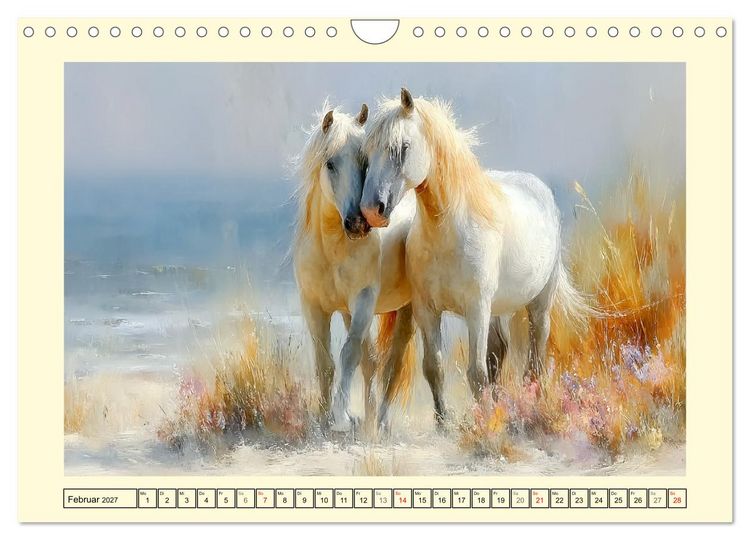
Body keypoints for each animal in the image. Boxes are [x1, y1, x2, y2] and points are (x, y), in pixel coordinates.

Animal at [293, 103, 417, 433]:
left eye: (364, 162)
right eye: (330, 163)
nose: (358, 223)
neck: (332, 251)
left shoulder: (362, 302)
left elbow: (348, 354)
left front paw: (340, 416)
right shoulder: (314, 307)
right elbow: (325, 362)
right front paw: (323, 417)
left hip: (408, 309)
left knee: (393, 362)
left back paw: (381, 422)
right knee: (372, 362)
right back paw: (370, 419)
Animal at [360, 88, 592, 428]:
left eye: (402, 147)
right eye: (366, 152)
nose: (370, 211)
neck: (448, 231)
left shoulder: (476, 309)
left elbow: (476, 373)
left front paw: (485, 423)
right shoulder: (427, 310)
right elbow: (435, 367)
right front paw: (444, 423)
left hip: (538, 305)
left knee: (534, 360)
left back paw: (529, 407)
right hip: (496, 309)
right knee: (500, 352)